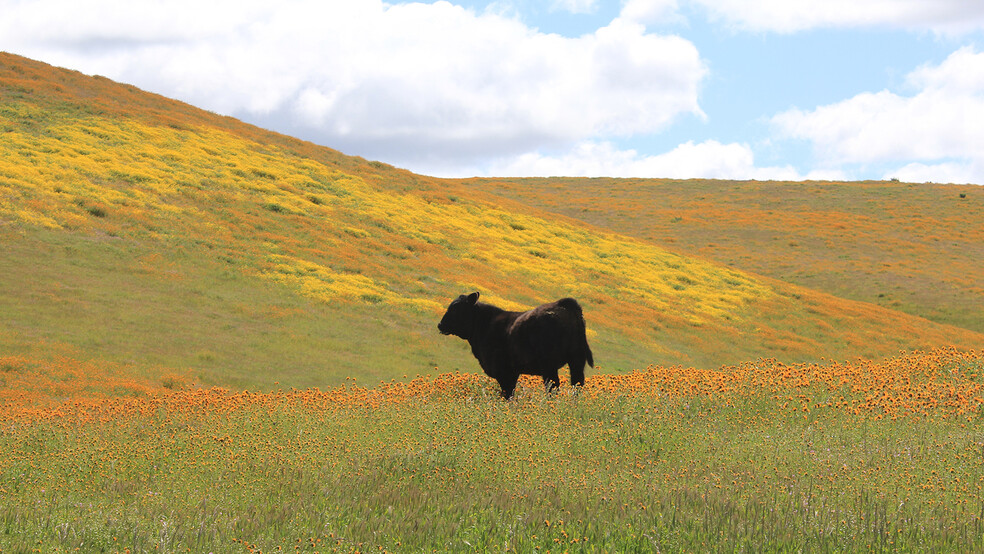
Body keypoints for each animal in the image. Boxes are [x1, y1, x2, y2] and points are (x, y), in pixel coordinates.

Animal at [438, 288, 592, 396]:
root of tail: (564, 304)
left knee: (553, 388)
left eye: (455, 309)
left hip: (549, 365)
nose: (440, 325)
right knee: (577, 384)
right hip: (577, 359)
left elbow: (507, 394)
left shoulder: (503, 371)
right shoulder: (513, 372)